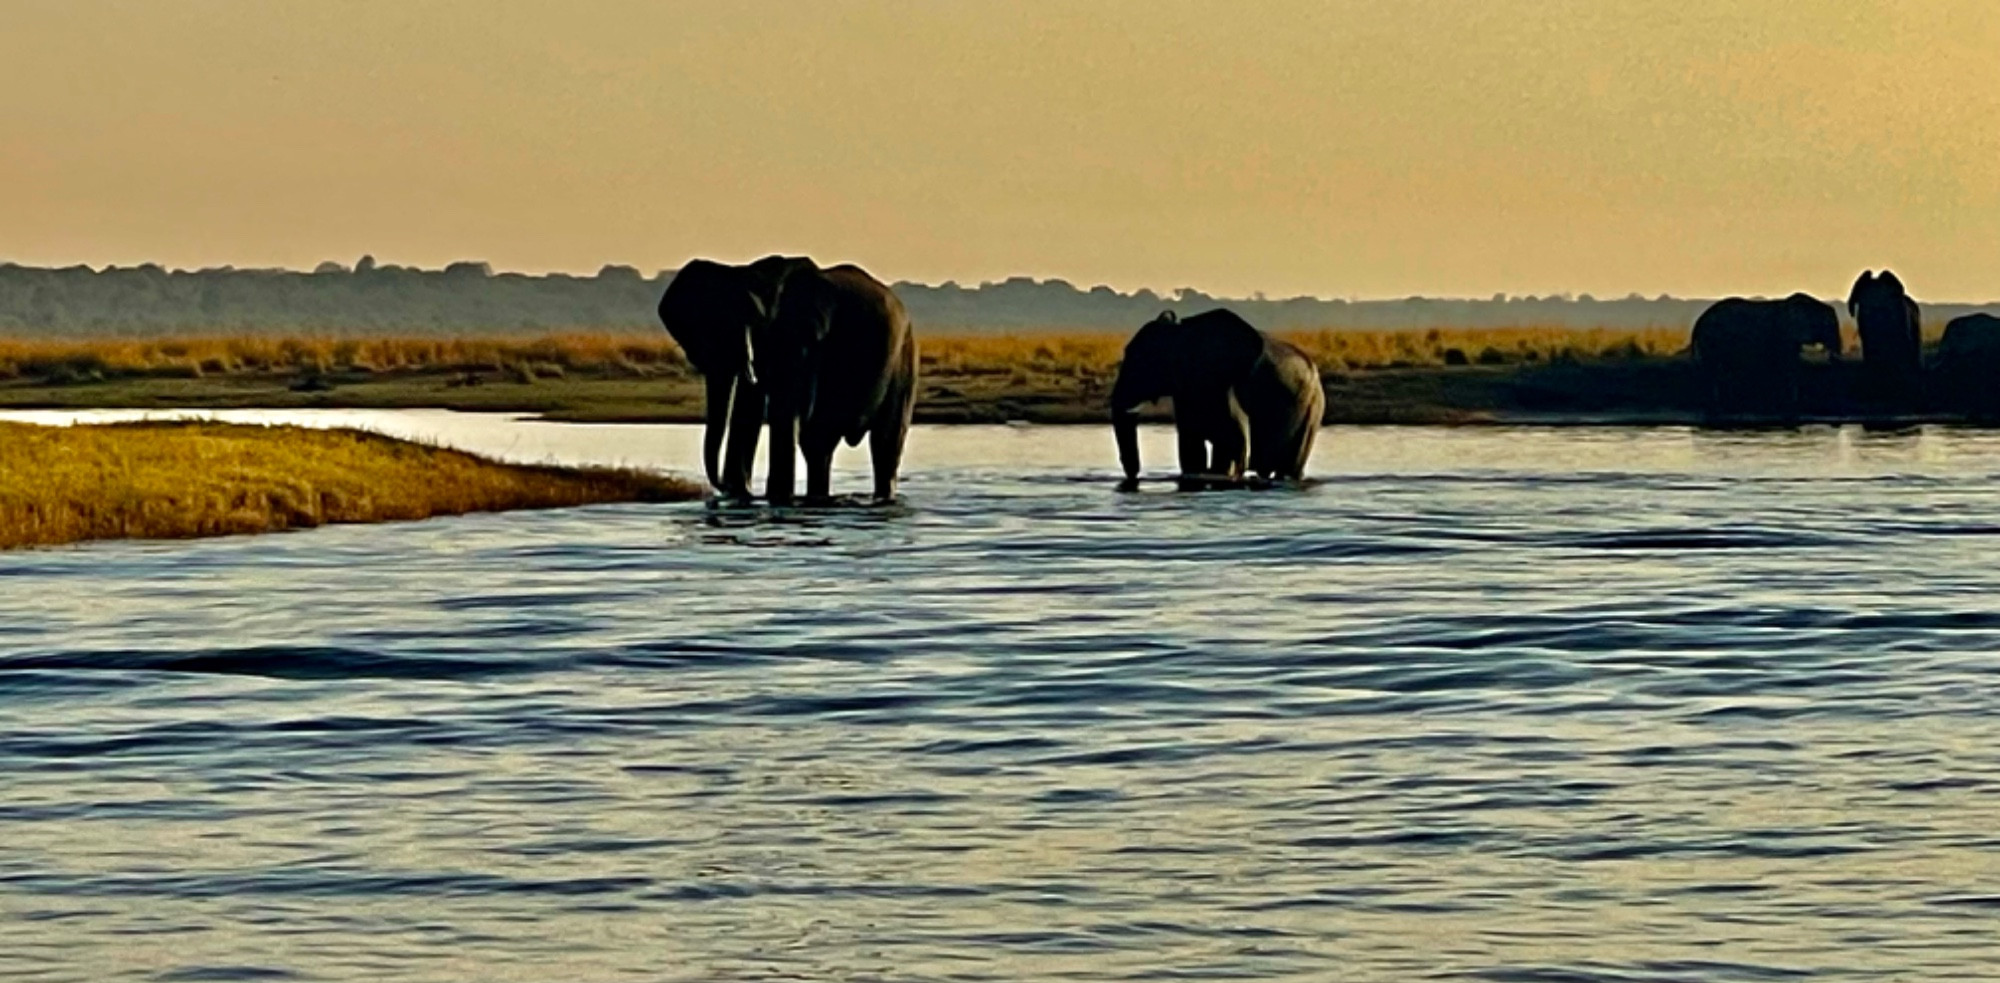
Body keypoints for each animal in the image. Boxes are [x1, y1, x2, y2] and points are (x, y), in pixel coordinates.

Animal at [656, 253, 812, 499]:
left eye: (736, 322)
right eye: (692, 344)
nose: (723, 487)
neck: (738, 273)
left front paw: (739, 491)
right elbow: (749, 399)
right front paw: (739, 492)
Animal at [1112, 309, 1328, 485]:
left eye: (1142, 360)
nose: (1134, 475)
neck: (1182, 334)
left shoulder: (1222, 383)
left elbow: (1234, 441)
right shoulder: (1186, 387)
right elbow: (1192, 446)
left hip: (1312, 407)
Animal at [1688, 291, 1840, 415]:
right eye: (1828, 325)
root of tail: (1698, 323)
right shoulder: (1783, 335)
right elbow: (1786, 366)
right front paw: (1787, 407)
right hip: (1712, 340)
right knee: (1713, 371)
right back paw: (1718, 407)